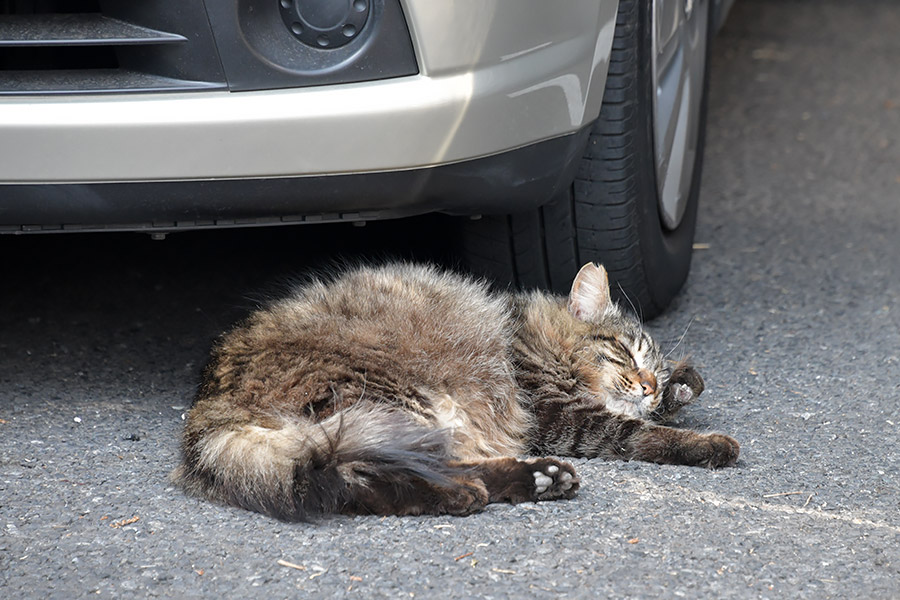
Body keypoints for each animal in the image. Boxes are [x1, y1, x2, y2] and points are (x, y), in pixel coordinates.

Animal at [174, 262, 740, 520]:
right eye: (625, 352)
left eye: (653, 370)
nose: (648, 384)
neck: (525, 333)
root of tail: (209, 406)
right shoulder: (557, 412)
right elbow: (639, 434)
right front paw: (709, 443)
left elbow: (659, 410)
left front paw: (682, 386)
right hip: (393, 406)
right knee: (359, 477)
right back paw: (466, 494)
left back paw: (539, 479)